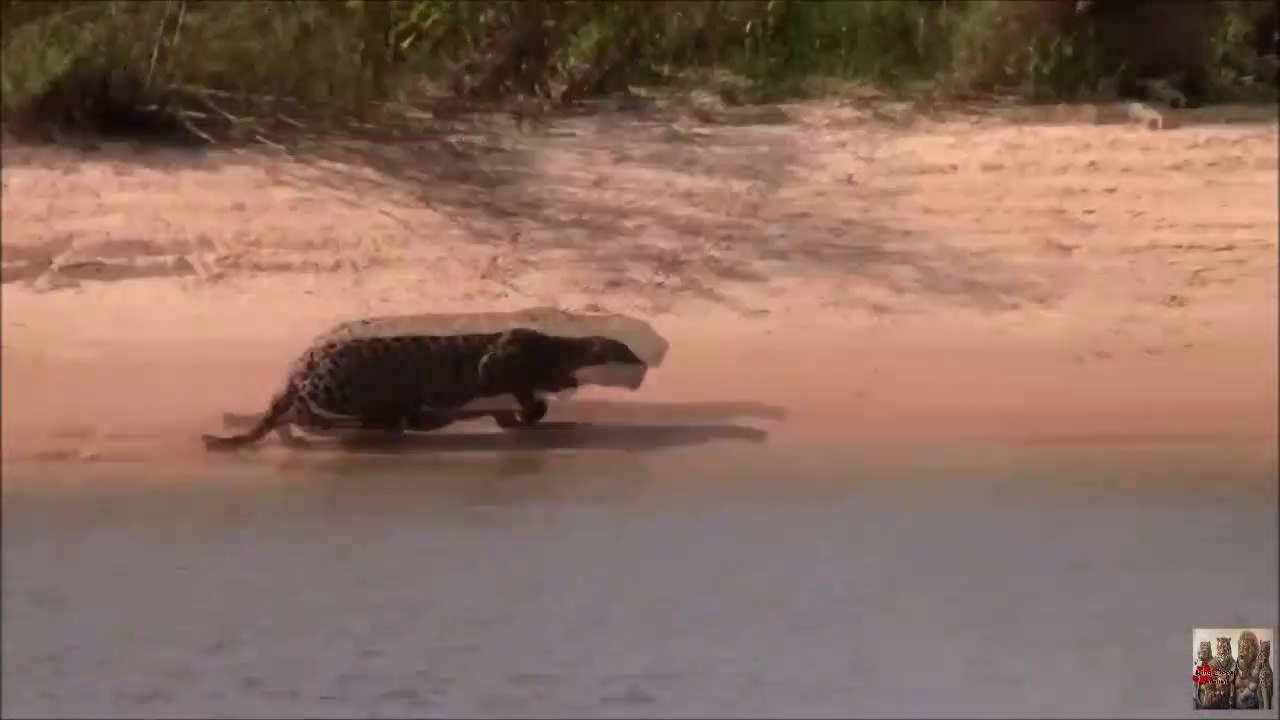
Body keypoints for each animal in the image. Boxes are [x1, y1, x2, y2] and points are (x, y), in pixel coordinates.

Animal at [201, 327, 646, 451]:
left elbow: (523, 407)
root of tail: (299, 365)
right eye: (627, 349)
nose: (643, 361)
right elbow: (519, 392)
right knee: (304, 412)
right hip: (335, 388)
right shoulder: (499, 364)